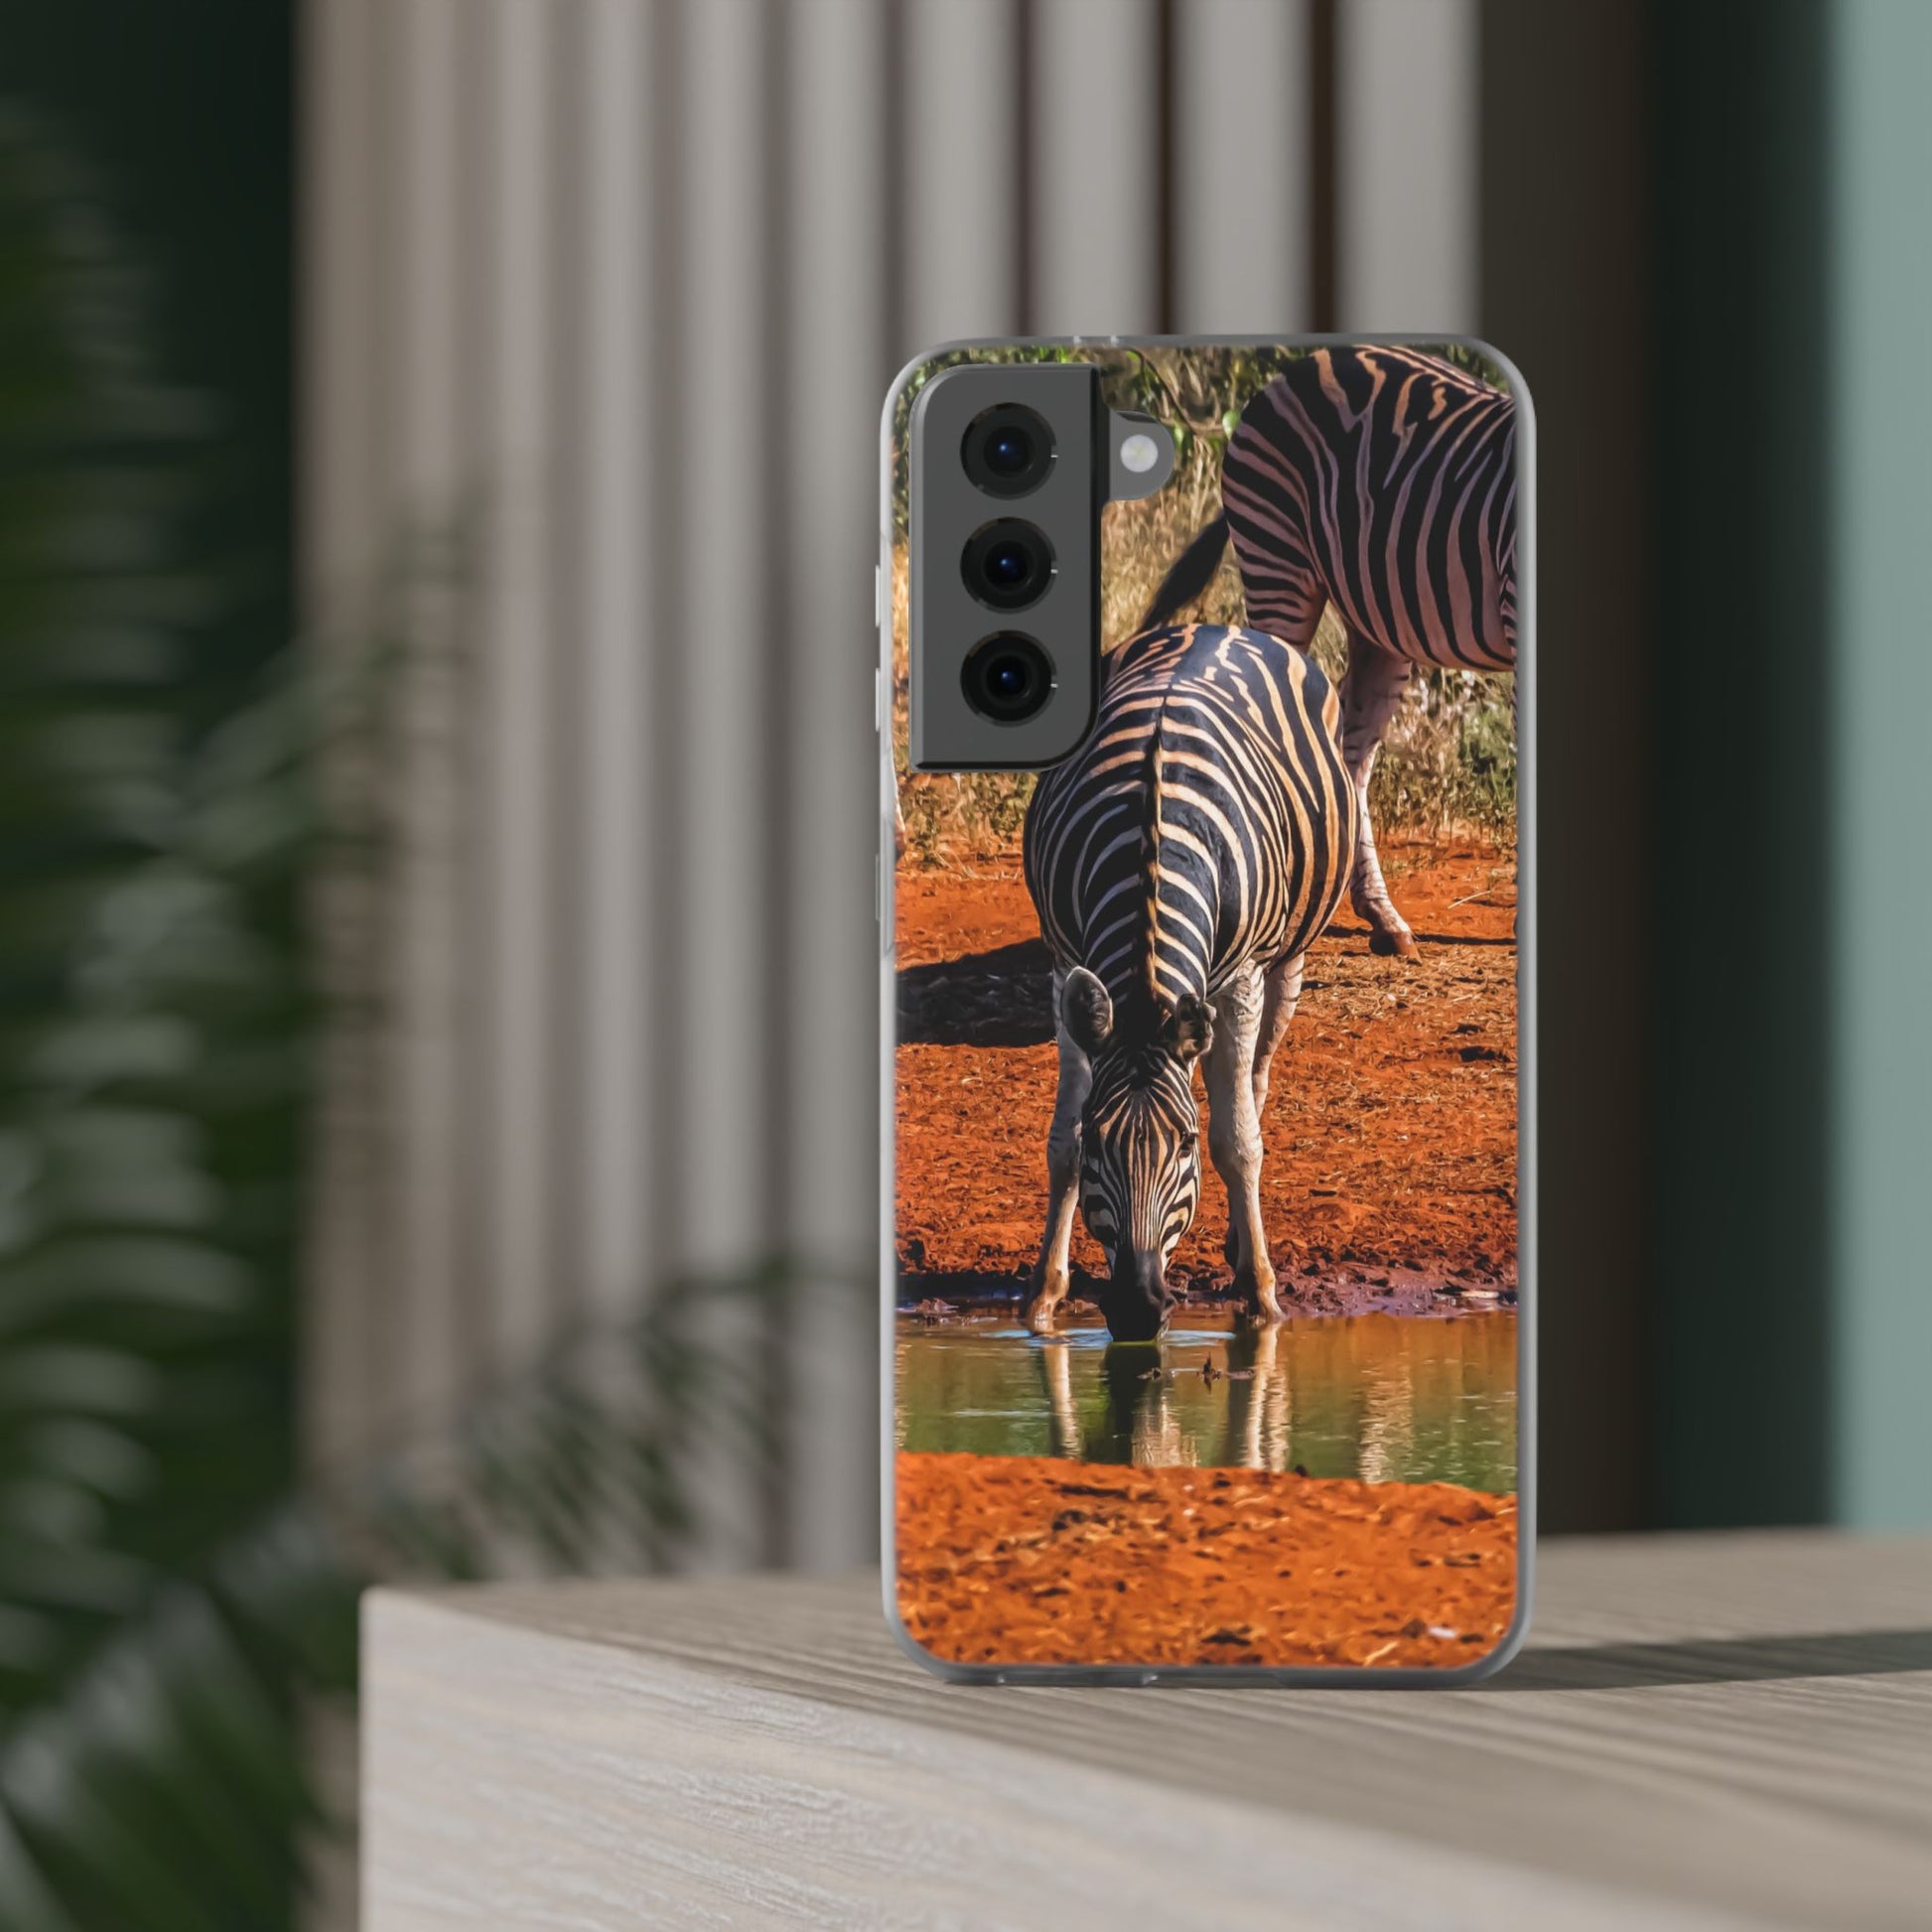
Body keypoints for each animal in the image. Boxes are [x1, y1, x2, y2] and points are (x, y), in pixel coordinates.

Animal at [1021, 622, 1357, 1341]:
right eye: (1101, 1140)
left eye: (1185, 1145)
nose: (1137, 1310)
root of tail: (1215, 625)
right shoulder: (1064, 963)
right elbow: (1060, 1143)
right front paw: (1043, 1296)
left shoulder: (1242, 978)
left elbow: (1238, 1142)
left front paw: (1261, 1297)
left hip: (1286, 957)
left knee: (1254, 1083)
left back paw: (1240, 1244)